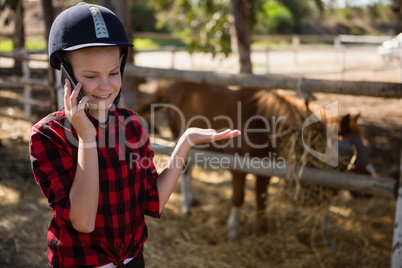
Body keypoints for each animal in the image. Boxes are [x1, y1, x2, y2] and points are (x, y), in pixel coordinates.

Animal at [136, 80, 376, 239]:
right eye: (349, 150)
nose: (368, 191)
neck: (260, 121)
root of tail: (176, 85)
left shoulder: (266, 169)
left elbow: (261, 198)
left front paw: (262, 229)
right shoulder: (237, 167)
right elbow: (239, 197)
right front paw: (234, 228)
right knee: (185, 169)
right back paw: (186, 204)